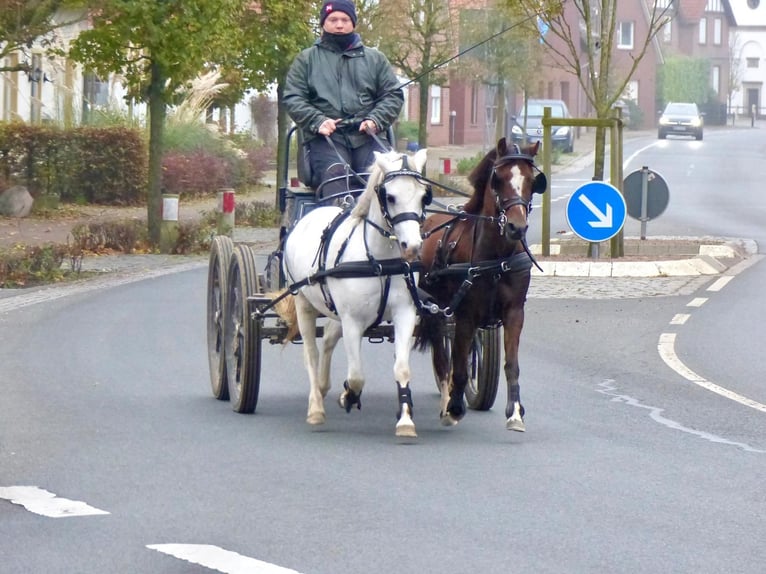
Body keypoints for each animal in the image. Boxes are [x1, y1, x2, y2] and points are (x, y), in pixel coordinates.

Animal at [284, 150, 428, 440]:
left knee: (328, 339)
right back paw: (316, 407)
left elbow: (402, 367)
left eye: (423, 195)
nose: (413, 247)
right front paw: (349, 395)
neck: (380, 261)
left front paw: (405, 421)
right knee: (311, 353)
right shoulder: (352, 322)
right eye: (390, 196)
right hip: (304, 303)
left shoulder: (405, 313)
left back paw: (324, 387)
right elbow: (357, 375)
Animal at [420, 136, 544, 432]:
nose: (516, 227)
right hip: (434, 313)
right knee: (443, 358)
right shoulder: (466, 315)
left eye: (532, 180)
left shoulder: (514, 313)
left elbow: (512, 364)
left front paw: (515, 412)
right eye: (498, 178)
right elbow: (460, 365)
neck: (496, 259)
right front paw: (455, 407)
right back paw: (447, 400)